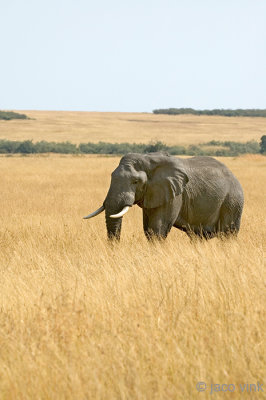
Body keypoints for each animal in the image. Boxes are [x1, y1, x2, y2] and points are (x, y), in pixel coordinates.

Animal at [84, 152, 244, 241]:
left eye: (135, 182)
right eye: (111, 177)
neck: (148, 159)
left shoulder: (174, 194)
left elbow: (158, 228)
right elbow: (148, 229)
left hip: (232, 201)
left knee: (228, 234)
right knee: (197, 236)